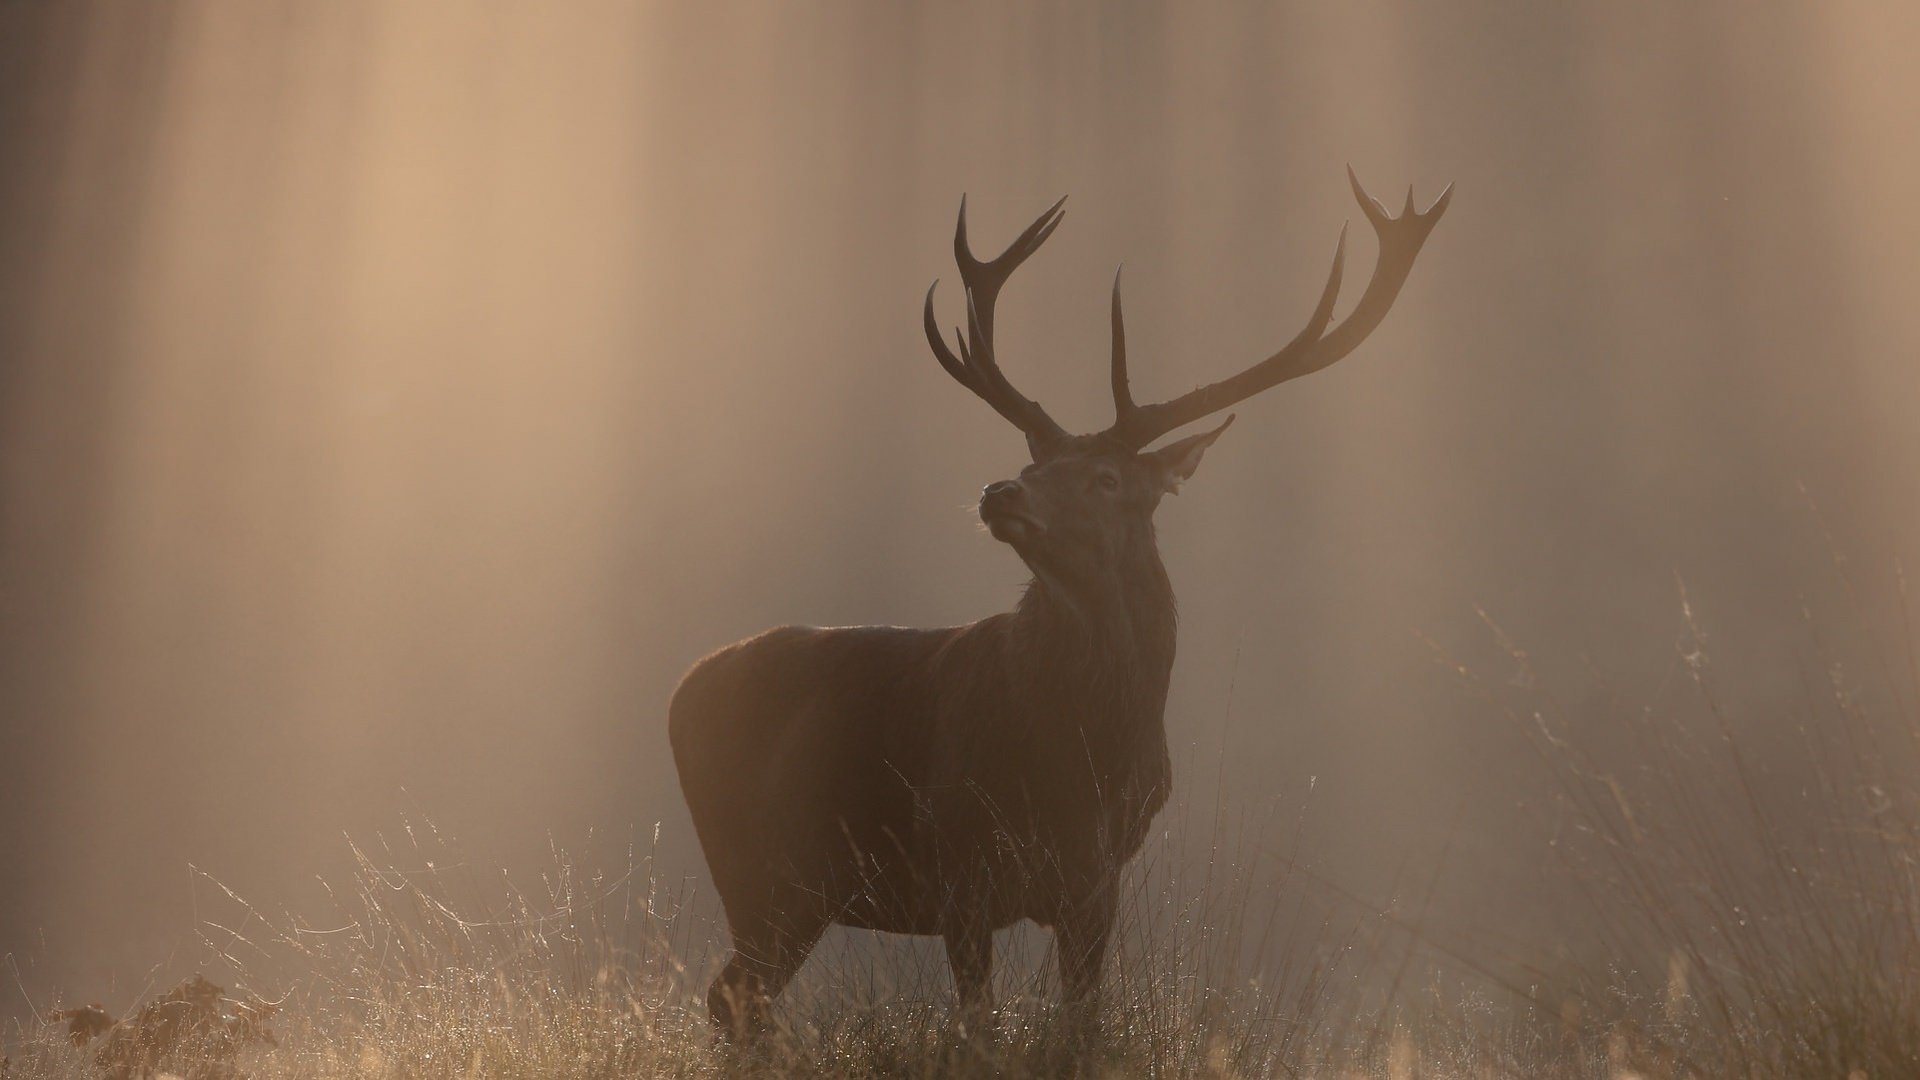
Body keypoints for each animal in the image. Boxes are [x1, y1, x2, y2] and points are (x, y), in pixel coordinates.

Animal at [668, 168, 1443, 1037]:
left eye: (1105, 478)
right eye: (1034, 463)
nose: (999, 491)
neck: (1081, 751)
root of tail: (680, 693)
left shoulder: (1097, 880)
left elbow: (1081, 1020)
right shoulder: (959, 858)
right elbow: (978, 1026)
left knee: (736, 995)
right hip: (762, 866)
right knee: (735, 994)